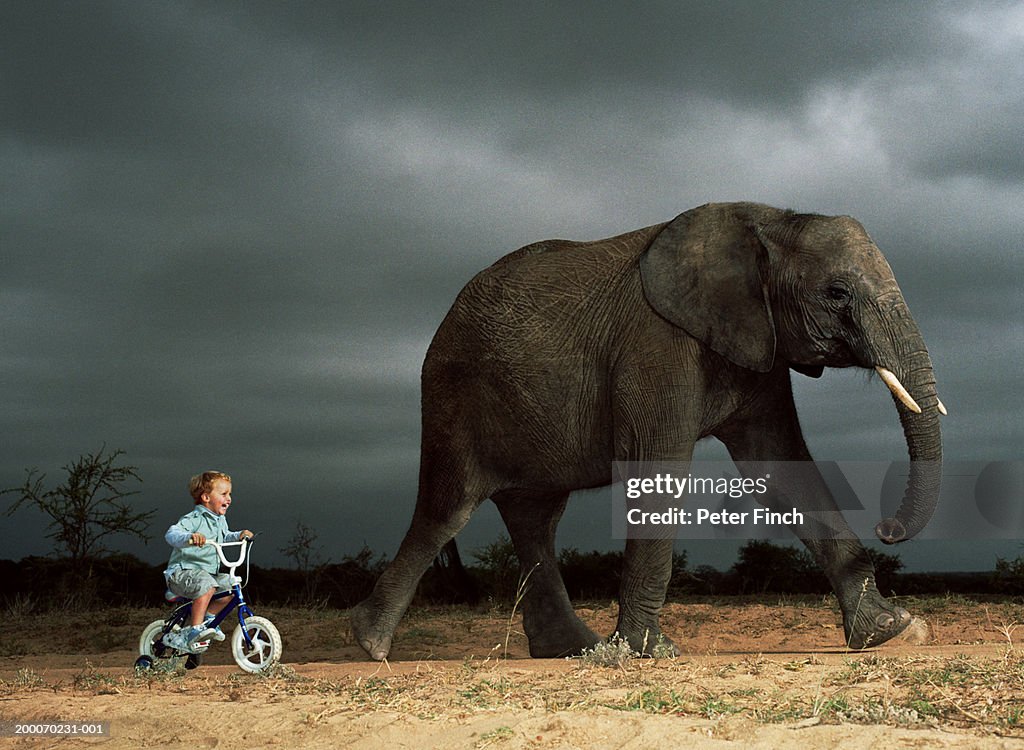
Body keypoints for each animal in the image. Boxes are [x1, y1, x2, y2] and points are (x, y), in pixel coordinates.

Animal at [352, 201, 942, 659]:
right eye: (838, 293)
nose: (889, 528)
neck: (770, 220)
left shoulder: (758, 345)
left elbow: (783, 469)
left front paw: (895, 632)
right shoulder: (657, 343)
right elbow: (660, 466)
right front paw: (649, 652)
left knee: (535, 519)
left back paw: (572, 650)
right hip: (452, 393)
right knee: (447, 509)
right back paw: (370, 645)